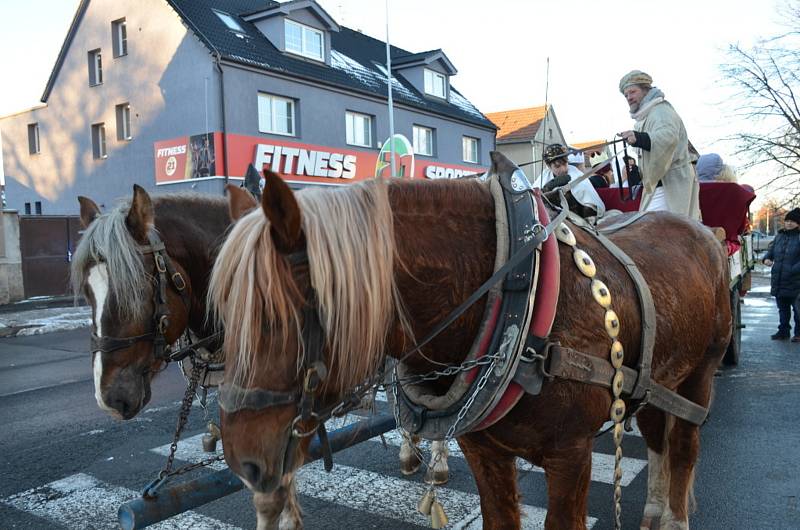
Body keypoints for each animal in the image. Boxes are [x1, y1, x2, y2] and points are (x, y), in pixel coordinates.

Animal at [208, 154, 732, 528]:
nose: (243, 463)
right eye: (226, 316)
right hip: (656, 380)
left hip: (700, 374)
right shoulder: (484, 451)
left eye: (276, 318)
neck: (520, 294)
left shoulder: (571, 456)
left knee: (684, 446)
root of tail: (700, 230)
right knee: (657, 435)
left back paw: (674, 517)